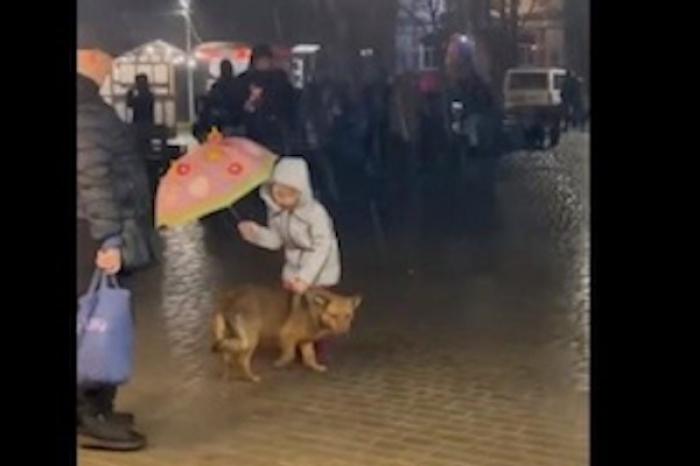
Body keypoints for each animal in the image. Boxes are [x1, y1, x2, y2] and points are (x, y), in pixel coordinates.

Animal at [211, 284, 360, 382]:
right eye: (333, 315)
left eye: (348, 316)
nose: (343, 331)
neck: (314, 311)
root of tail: (230, 300)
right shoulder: (286, 335)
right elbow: (290, 355)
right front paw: (280, 363)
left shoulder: (306, 342)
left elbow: (310, 357)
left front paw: (315, 367)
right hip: (249, 341)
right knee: (241, 360)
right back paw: (251, 377)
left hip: (231, 336)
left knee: (227, 354)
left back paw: (227, 375)